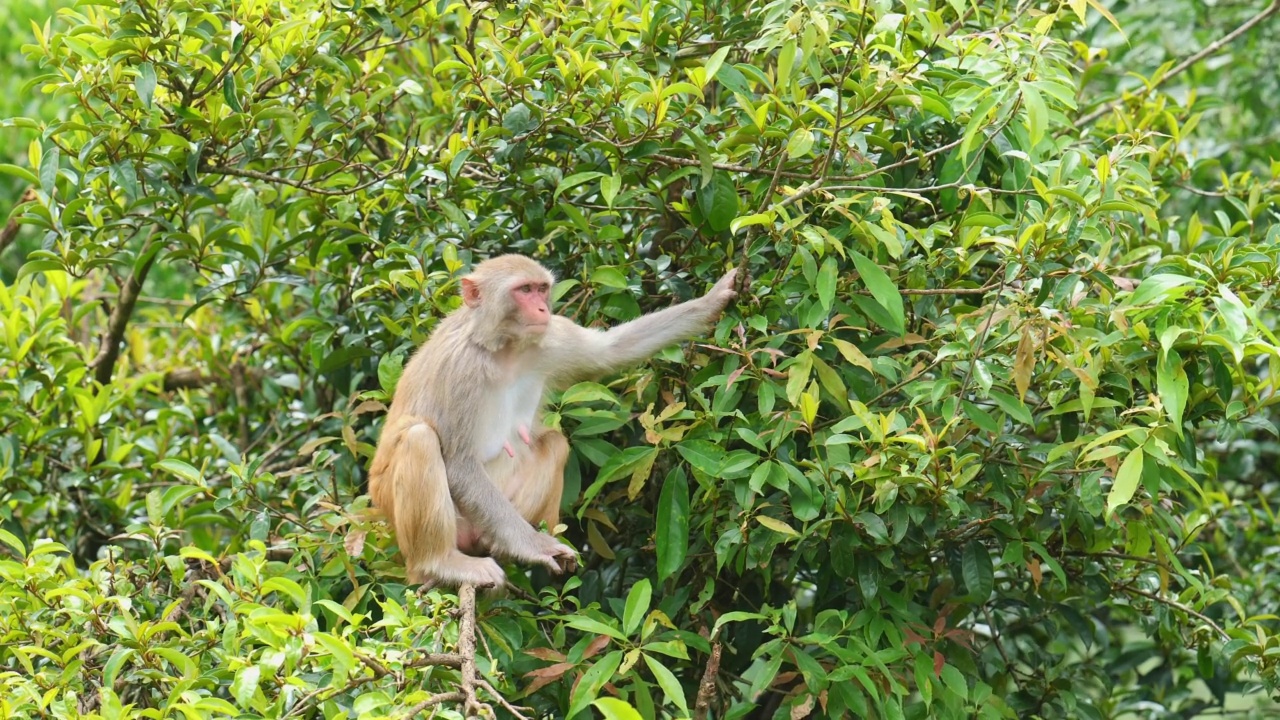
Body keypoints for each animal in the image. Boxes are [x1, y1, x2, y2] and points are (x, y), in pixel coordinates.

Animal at [366, 254, 742, 586]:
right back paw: (440, 564)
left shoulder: (550, 338)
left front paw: (715, 297)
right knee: (420, 439)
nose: (543, 309)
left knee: (556, 442)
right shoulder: (459, 371)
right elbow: (460, 464)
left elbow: (611, 351)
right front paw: (534, 547)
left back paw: (498, 544)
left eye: (541, 288)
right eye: (523, 290)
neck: (502, 348)